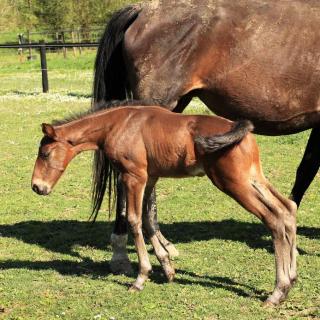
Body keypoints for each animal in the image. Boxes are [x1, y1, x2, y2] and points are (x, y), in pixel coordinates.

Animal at [31, 102, 298, 304]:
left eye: (45, 154)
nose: (37, 187)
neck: (118, 124)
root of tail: (241, 130)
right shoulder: (150, 178)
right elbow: (148, 220)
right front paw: (168, 268)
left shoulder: (134, 176)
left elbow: (134, 220)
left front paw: (141, 278)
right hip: (252, 178)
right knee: (287, 208)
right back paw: (292, 277)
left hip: (234, 183)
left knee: (273, 219)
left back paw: (278, 291)